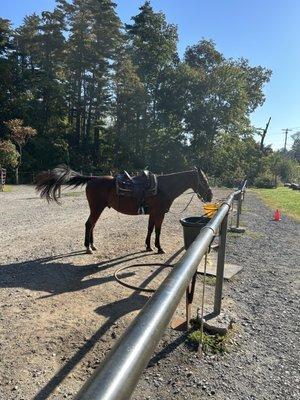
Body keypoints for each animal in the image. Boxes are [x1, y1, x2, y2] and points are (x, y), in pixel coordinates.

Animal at [36, 165, 212, 253]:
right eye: (204, 180)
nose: (210, 196)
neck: (164, 187)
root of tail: (92, 178)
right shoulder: (159, 213)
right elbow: (157, 230)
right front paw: (159, 248)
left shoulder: (152, 213)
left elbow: (150, 229)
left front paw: (148, 246)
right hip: (96, 208)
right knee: (89, 224)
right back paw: (88, 248)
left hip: (97, 209)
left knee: (92, 225)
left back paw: (92, 245)